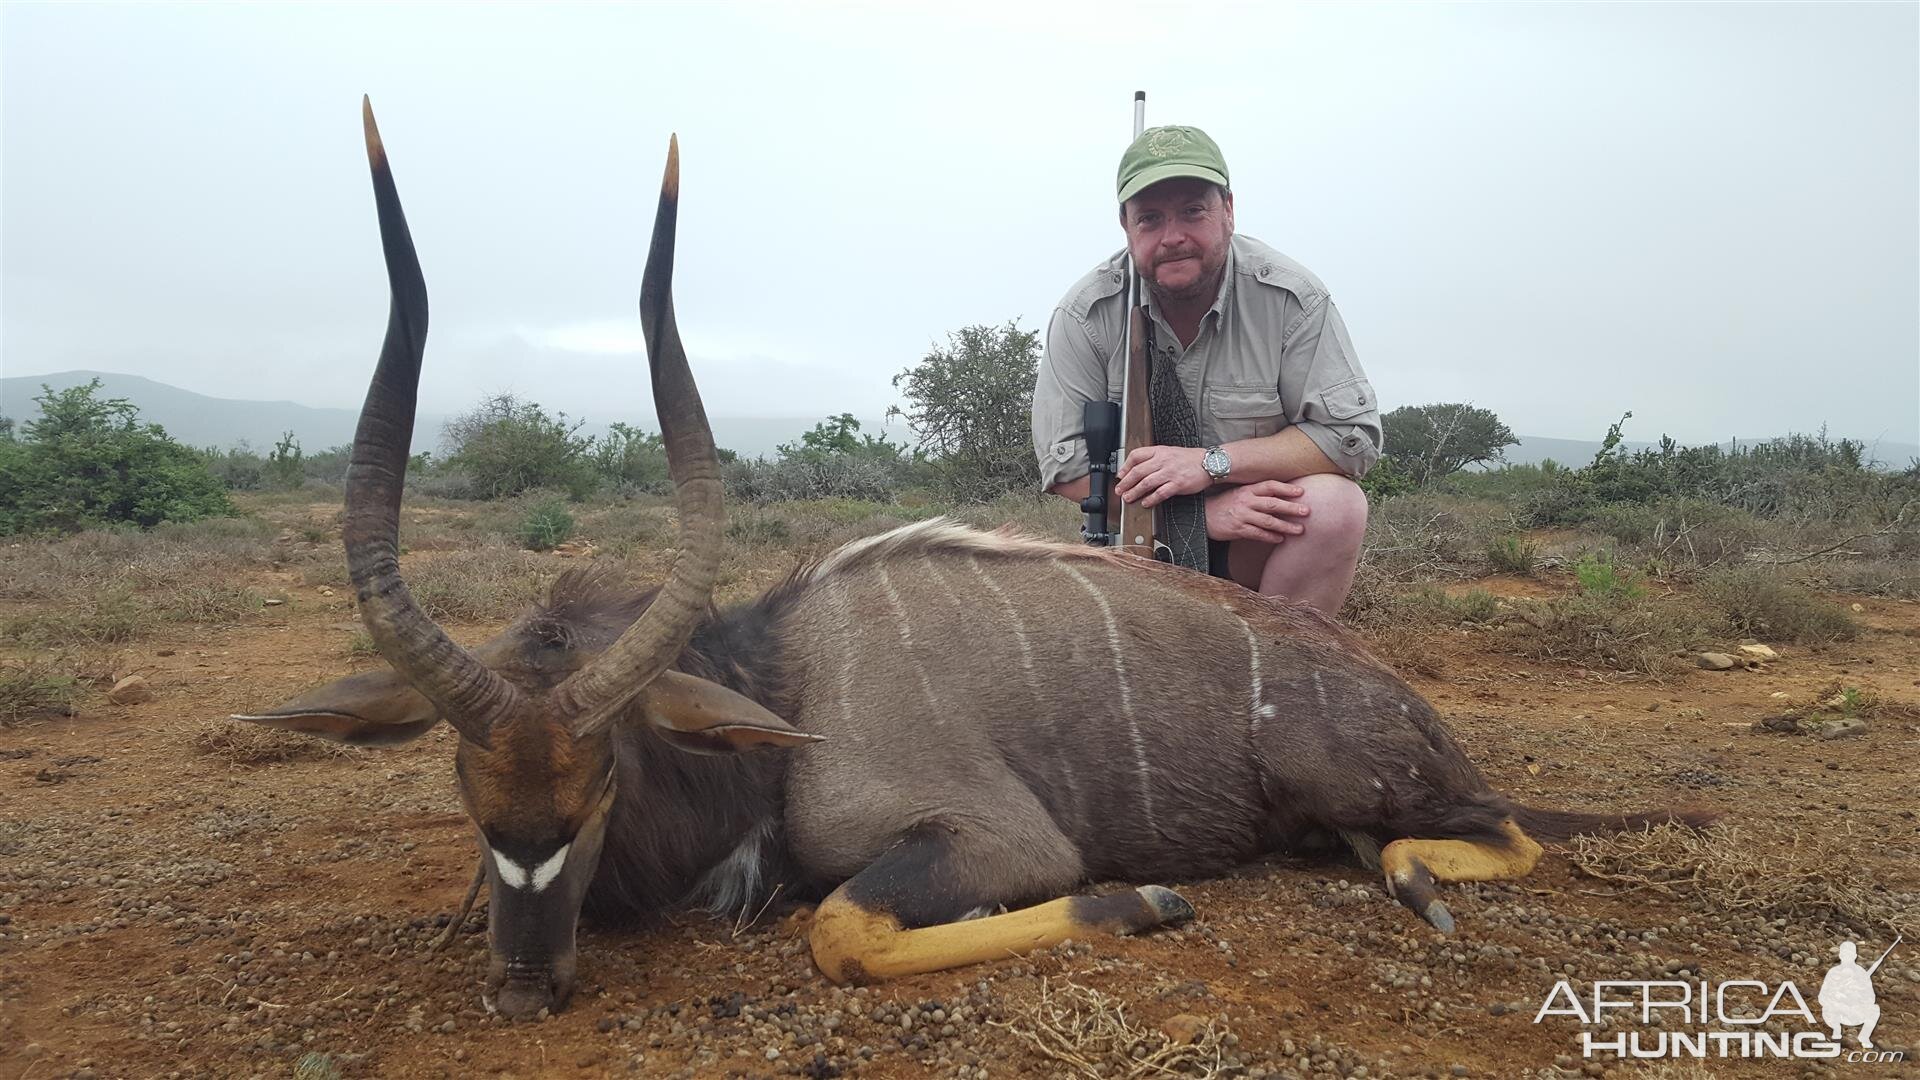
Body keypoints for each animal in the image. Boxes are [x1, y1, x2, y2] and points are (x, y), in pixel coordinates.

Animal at [243, 105, 1712, 1022]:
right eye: (458, 776)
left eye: (606, 771)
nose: (524, 982)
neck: (785, 684)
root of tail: (1406, 705)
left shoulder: (995, 841)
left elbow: (842, 928)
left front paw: (1143, 901)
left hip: (1355, 777)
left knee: (1501, 832)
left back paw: (1406, 878)